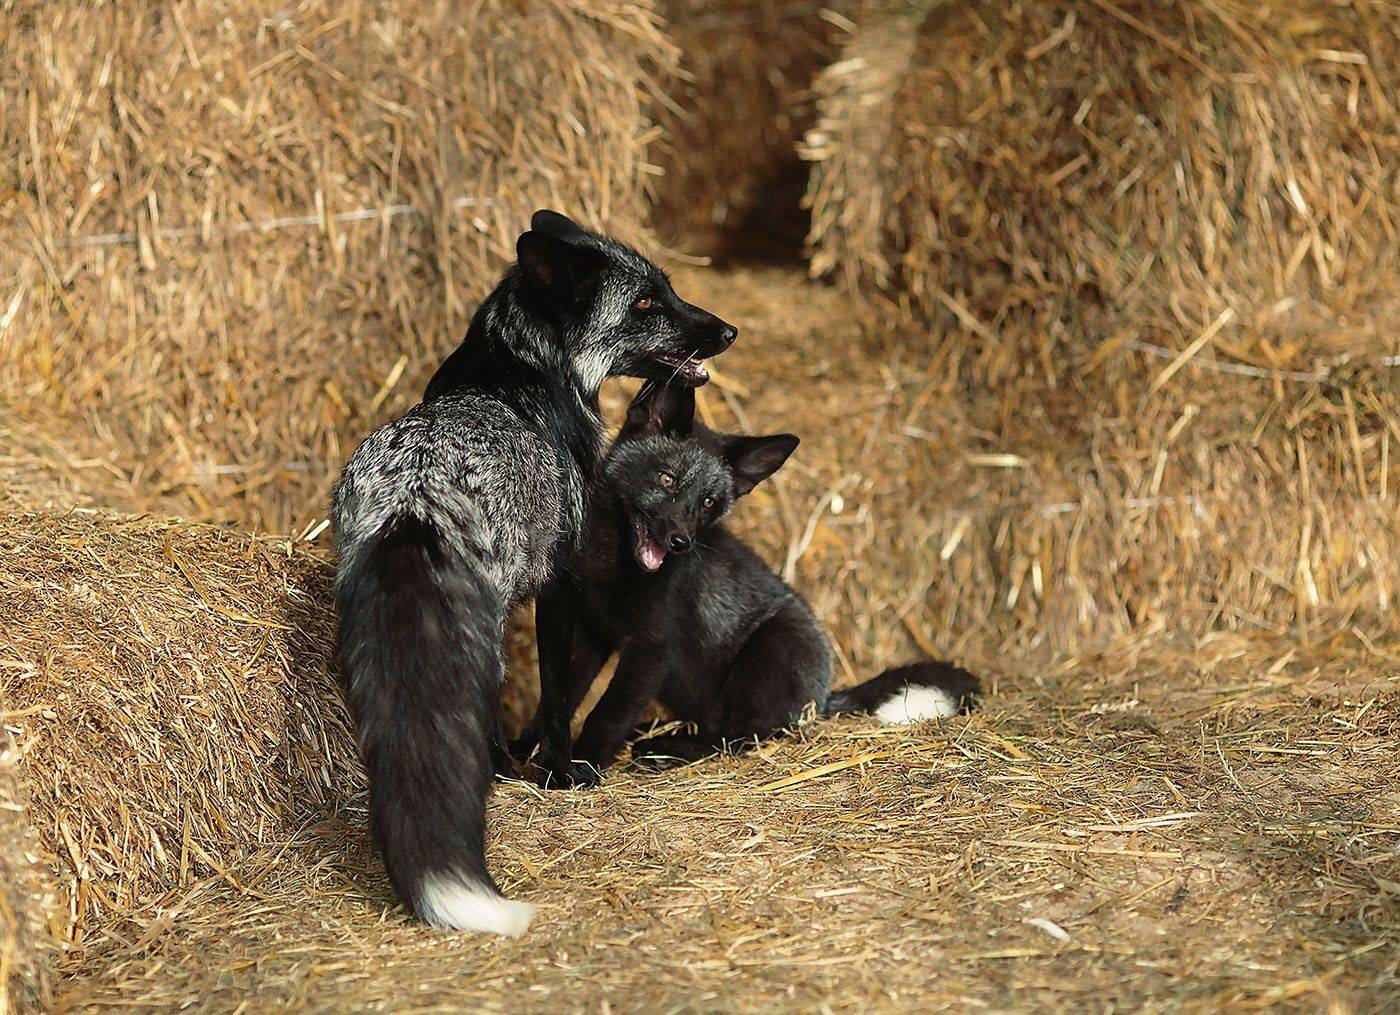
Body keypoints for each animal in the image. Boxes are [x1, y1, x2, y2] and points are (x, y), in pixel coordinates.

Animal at [331, 211, 736, 935]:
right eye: (644, 304)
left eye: (667, 289)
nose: (728, 331)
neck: (521, 371)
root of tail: (414, 502)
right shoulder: (562, 580)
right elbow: (559, 691)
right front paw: (560, 770)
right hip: (485, 637)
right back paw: (500, 771)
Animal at [514, 382, 980, 778]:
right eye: (666, 479)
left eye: (708, 502)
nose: (680, 542)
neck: (611, 562)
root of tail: (821, 696)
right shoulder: (588, 627)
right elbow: (560, 696)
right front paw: (528, 750)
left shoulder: (651, 647)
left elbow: (606, 713)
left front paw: (579, 769)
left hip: (767, 655)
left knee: (738, 736)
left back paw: (662, 749)